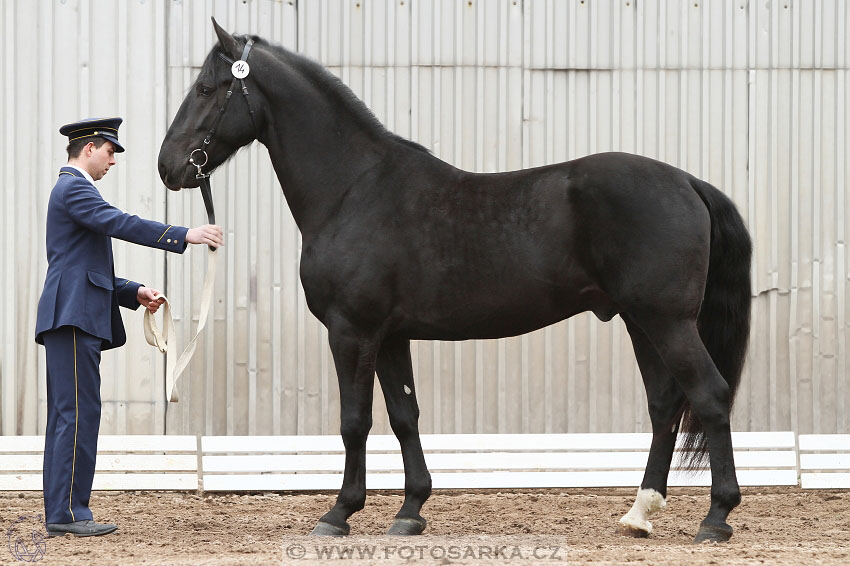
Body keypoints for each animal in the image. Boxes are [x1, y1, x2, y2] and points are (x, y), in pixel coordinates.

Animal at [157, 21, 748, 544]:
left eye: (206, 88)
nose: (168, 166)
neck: (353, 190)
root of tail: (687, 182)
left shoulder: (352, 331)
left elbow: (354, 420)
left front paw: (339, 513)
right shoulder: (391, 336)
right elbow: (404, 416)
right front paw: (411, 511)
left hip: (667, 321)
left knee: (710, 395)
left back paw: (716, 518)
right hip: (639, 321)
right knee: (665, 405)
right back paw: (639, 514)